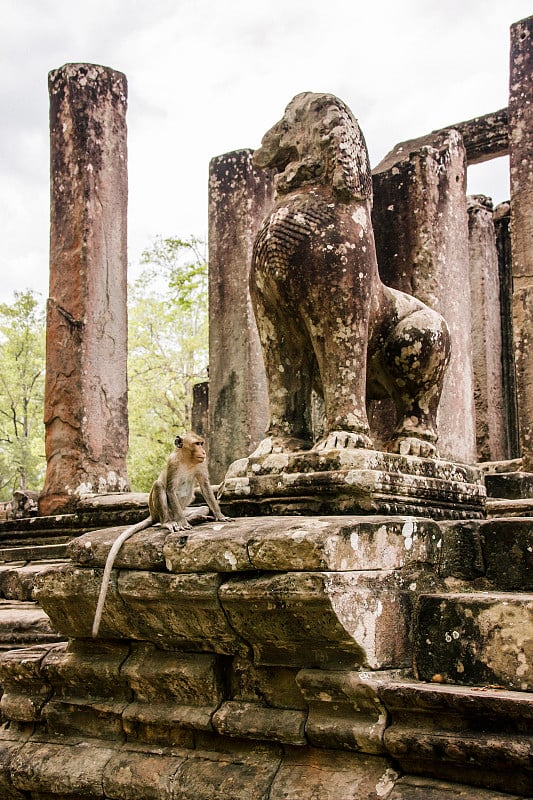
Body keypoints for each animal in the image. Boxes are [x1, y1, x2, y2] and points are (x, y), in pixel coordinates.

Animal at [91, 432, 231, 636]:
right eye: (197, 444)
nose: (204, 451)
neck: (187, 459)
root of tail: (153, 515)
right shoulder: (172, 464)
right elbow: (170, 489)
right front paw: (183, 524)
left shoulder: (201, 464)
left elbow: (205, 487)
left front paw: (220, 516)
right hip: (159, 510)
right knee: (159, 486)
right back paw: (171, 523)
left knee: (199, 504)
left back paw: (197, 517)